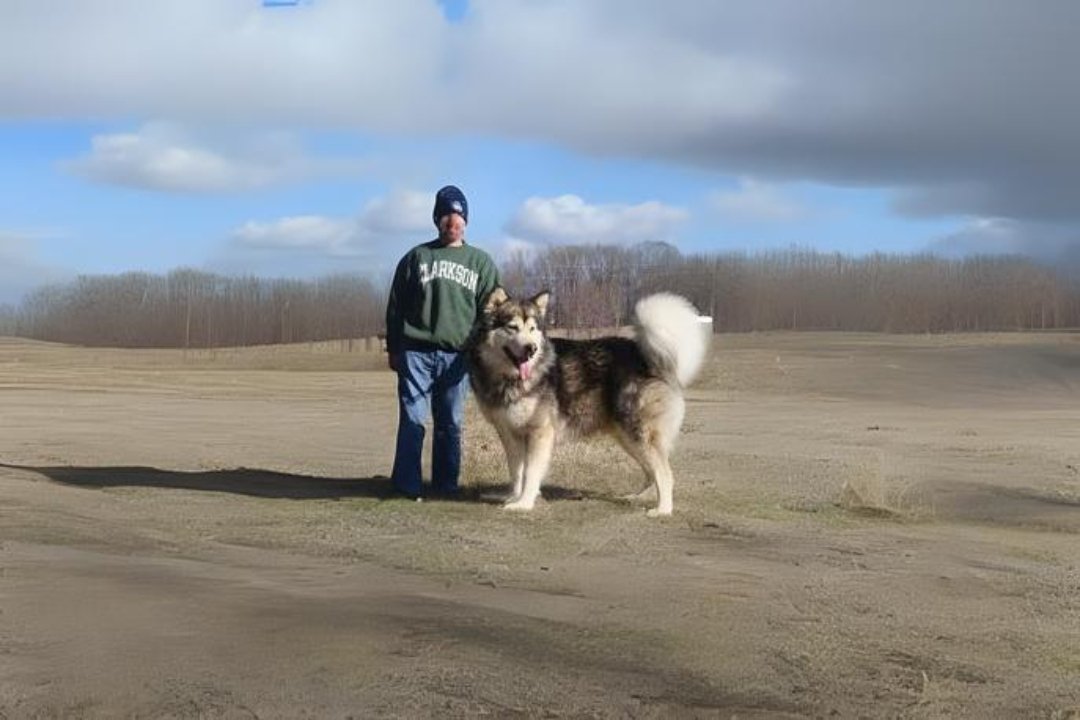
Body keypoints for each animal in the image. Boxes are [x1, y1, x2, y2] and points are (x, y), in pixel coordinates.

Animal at [466, 289, 708, 518]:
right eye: (512, 327)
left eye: (532, 329)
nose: (531, 349)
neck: (509, 379)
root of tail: (646, 352)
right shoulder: (509, 433)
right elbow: (516, 471)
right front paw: (515, 497)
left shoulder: (540, 432)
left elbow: (531, 472)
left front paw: (524, 504)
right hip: (627, 437)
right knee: (651, 471)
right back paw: (639, 497)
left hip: (637, 431)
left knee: (665, 473)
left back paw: (663, 509)